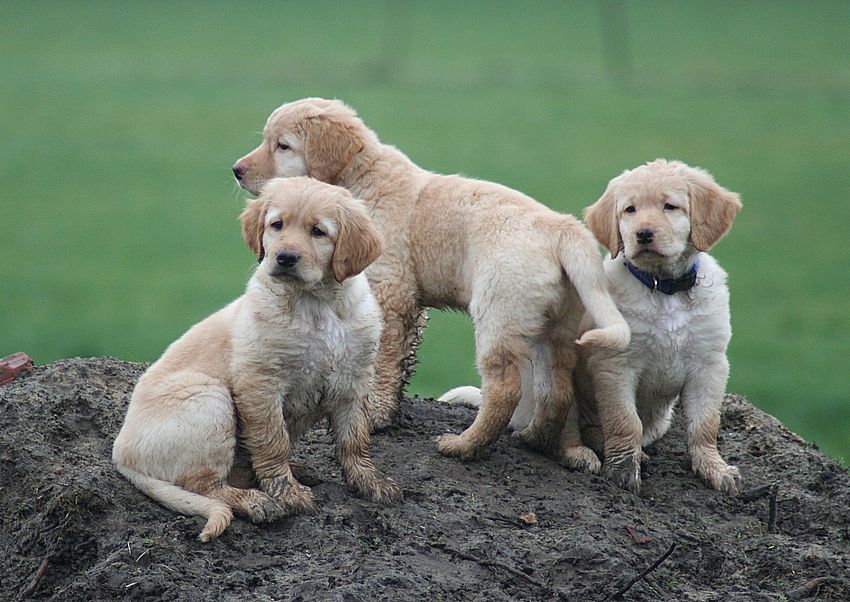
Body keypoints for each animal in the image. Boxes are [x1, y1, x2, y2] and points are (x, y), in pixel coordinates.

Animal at [112, 177, 401, 542]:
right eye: (276, 225)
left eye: (318, 232)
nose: (285, 257)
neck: (316, 304)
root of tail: (121, 453)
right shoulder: (260, 382)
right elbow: (272, 440)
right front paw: (287, 493)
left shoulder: (354, 378)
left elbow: (355, 439)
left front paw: (369, 481)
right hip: (210, 400)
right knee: (205, 485)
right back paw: (256, 501)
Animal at [233, 98, 630, 466]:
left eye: (282, 146)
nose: (236, 170)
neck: (361, 178)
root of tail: (561, 227)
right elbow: (401, 361)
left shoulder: (390, 293)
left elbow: (383, 361)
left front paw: (375, 414)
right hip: (557, 325)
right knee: (558, 386)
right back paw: (539, 439)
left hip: (498, 313)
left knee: (504, 388)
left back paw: (464, 445)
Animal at [567, 159, 743, 495]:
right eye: (630, 210)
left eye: (670, 206)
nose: (644, 234)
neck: (665, 289)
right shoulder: (616, 365)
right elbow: (624, 421)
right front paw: (623, 470)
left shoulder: (709, 363)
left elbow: (705, 424)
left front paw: (714, 467)